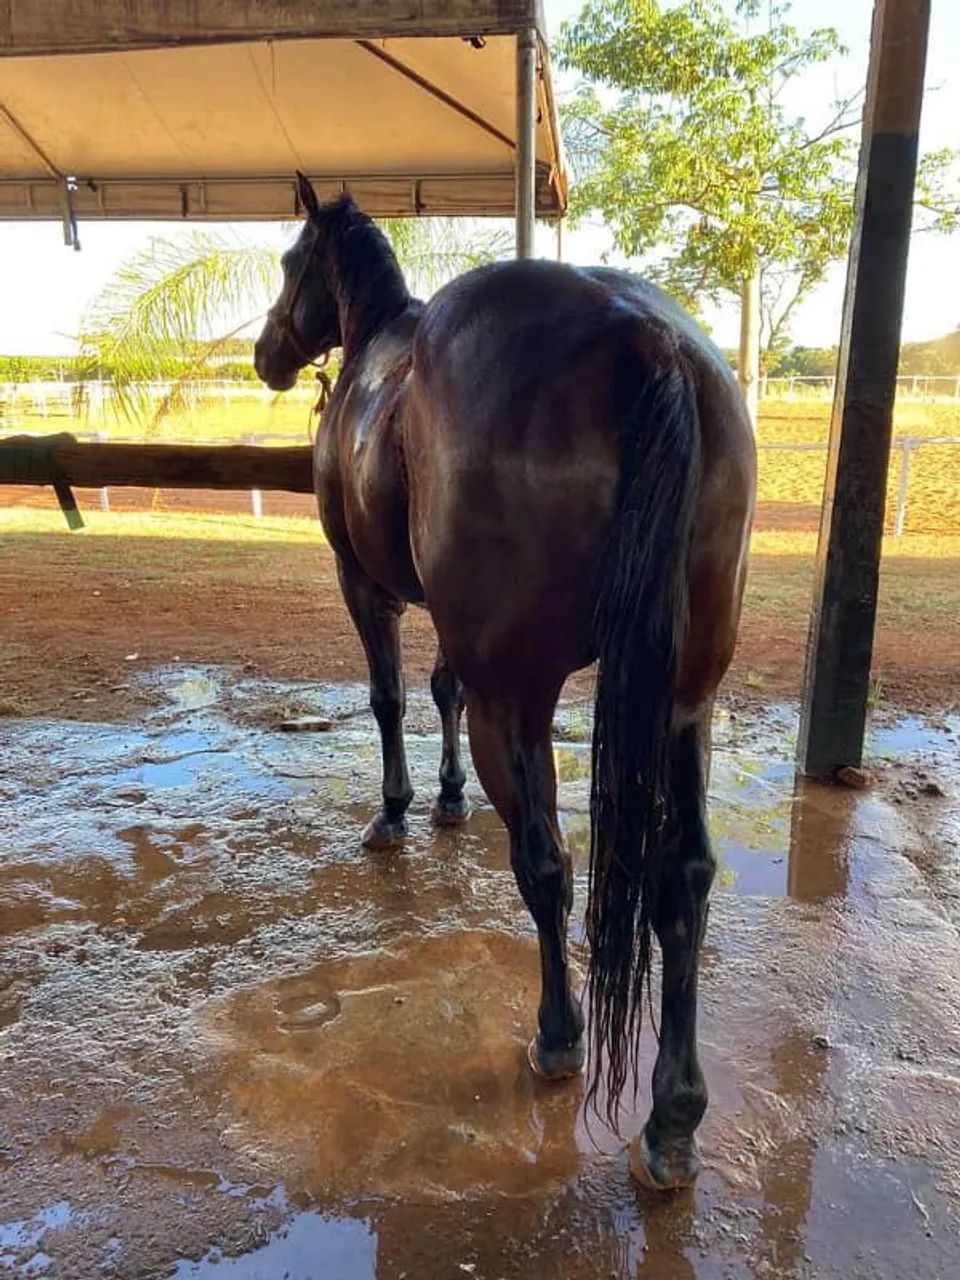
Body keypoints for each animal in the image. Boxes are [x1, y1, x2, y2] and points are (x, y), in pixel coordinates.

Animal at [254, 173, 755, 1190]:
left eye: (291, 262)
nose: (267, 355)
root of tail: (647, 338)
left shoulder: (367, 588)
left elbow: (392, 698)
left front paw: (398, 810)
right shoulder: (454, 630)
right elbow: (438, 691)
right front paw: (445, 801)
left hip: (517, 698)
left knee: (547, 867)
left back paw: (558, 1038)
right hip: (685, 705)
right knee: (682, 879)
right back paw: (672, 1120)